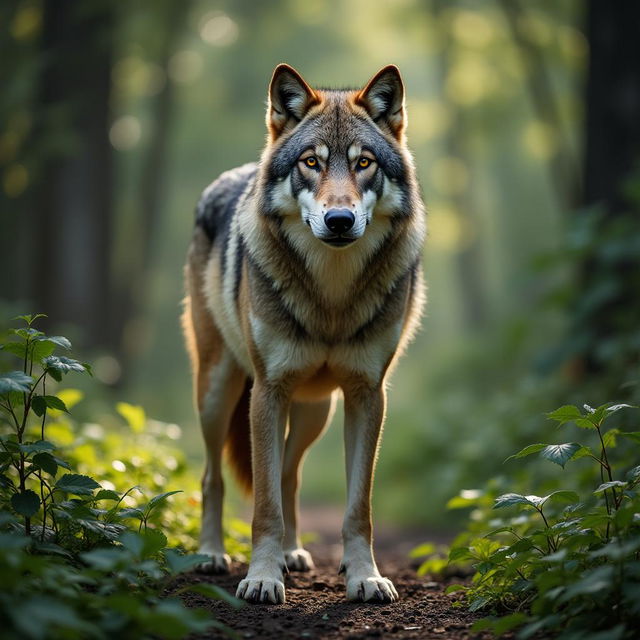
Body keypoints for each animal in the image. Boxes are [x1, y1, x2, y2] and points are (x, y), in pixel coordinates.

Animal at [181, 62, 424, 604]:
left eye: (364, 164)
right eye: (311, 162)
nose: (339, 219)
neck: (331, 297)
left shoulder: (367, 395)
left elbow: (358, 507)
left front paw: (365, 576)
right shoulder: (268, 393)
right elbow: (263, 504)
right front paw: (261, 578)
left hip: (315, 409)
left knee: (290, 474)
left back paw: (293, 553)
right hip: (219, 391)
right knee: (212, 476)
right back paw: (210, 554)